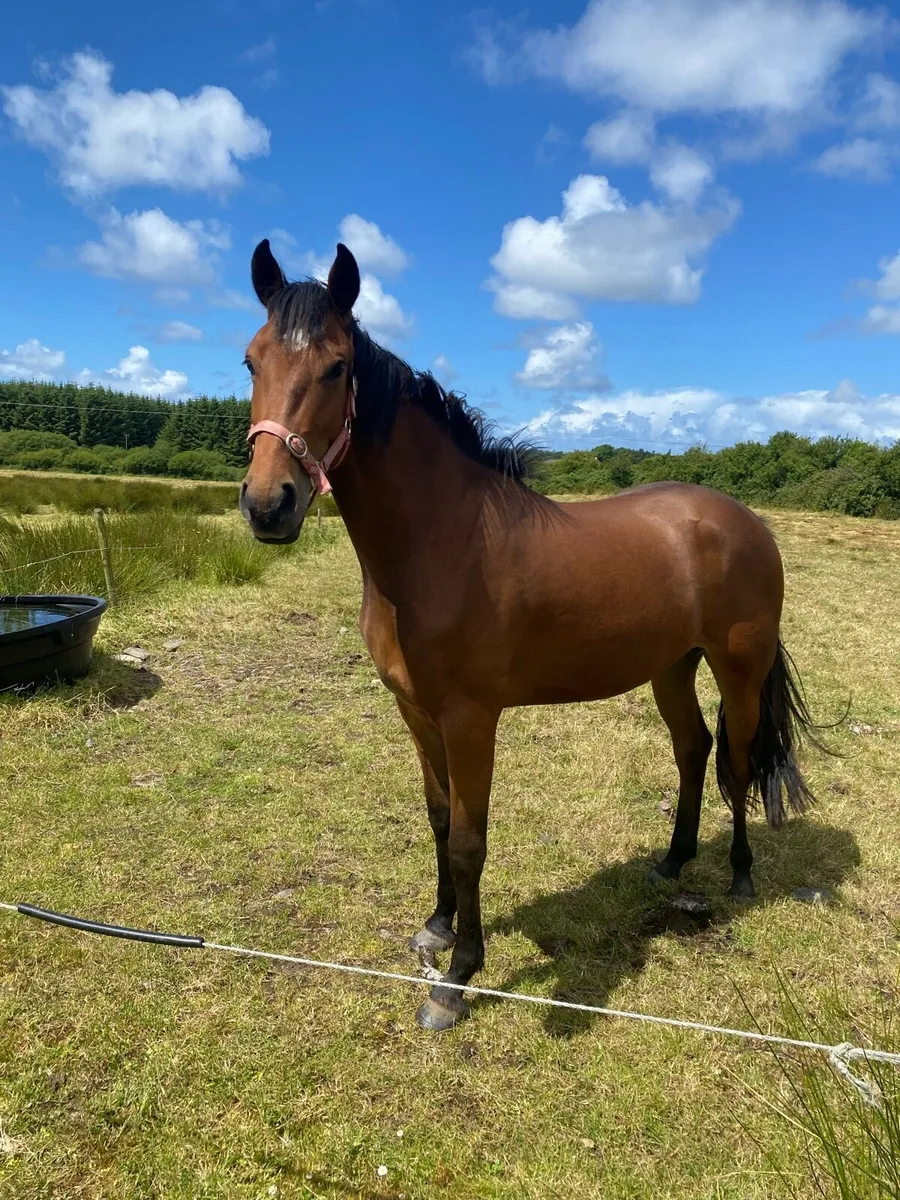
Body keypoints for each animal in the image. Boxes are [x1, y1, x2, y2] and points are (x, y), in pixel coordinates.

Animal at [239, 238, 823, 1032]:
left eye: (336, 367)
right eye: (251, 361)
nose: (269, 505)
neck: (443, 542)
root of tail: (747, 522)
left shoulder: (469, 718)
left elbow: (468, 839)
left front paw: (457, 978)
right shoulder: (415, 711)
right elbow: (437, 819)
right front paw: (437, 927)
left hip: (738, 671)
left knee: (737, 763)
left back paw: (738, 876)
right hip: (671, 667)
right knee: (693, 749)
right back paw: (671, 861)